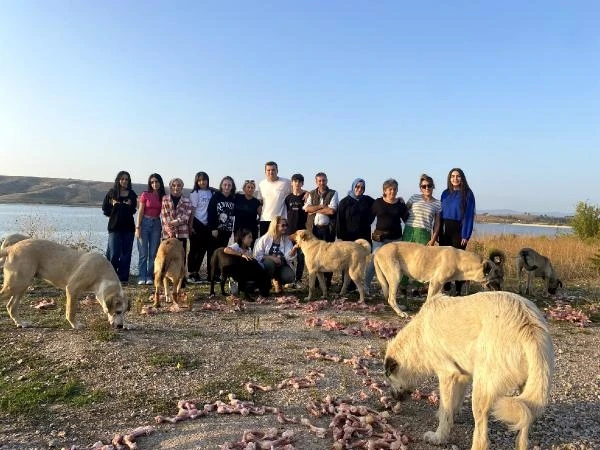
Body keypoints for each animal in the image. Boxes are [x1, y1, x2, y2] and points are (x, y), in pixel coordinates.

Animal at [0, 239, 129, 330]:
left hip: (22, 285)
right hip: (16, 284)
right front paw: (75, 325)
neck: (101, 273)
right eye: (118, 311)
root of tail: (11, 248)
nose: (120, 326)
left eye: (124, 312)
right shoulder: (72, 289)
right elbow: (71, 310)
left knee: (11, 306)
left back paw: (20, 323)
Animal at [372, 243, 504, 316]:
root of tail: (378, 250)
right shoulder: (435, 282)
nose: (502, 289)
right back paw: (400, 313)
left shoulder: (440, 285)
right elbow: (429, 300)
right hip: (396, 276)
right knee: (391, 298)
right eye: (498, 276)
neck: (461, 261)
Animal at [384, 292, 552, 450]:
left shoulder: (447, 374)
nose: (393, 397)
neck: (418, 335)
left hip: (480, 391)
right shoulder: (462, 375)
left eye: (389, 379)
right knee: (525, 425)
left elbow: (445, 409)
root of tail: (529, 326)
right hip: (527, 391)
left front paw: (439, 436)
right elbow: (453, 403)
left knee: (482, 439)